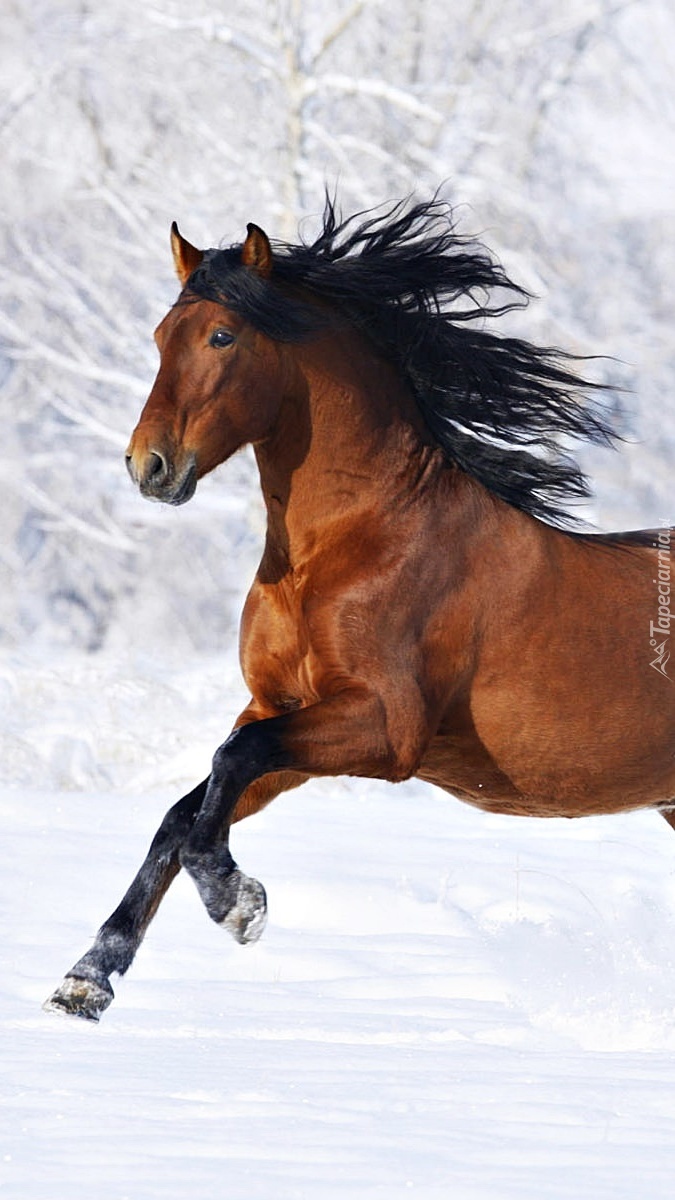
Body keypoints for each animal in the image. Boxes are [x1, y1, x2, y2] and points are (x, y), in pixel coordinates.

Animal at [45, 196, 672, 1022]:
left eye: (222, 335)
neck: (358, 541)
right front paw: (88, 977)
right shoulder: (280, 708)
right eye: (158, 336)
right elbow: (189, 808)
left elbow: (228, 764)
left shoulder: (385, 726)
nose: (148, 466)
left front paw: (238, 905)